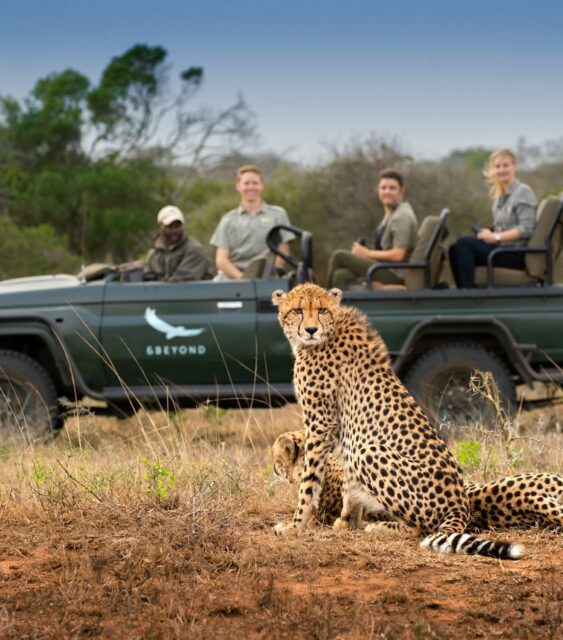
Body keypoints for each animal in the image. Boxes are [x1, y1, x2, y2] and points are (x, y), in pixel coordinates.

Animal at [271, 283, 523, 559]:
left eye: (322, 310)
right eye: (297, 310)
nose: (311, 330)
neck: (330, 330)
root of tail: (460, 504)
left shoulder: (320, 424)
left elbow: (308, 481)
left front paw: (295, 526)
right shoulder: (342, 430)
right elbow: (346, 482)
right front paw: (346, 521)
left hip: (369, 451)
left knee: (421, 529)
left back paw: (382, 527)